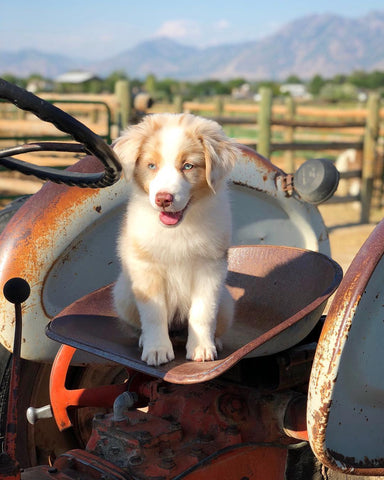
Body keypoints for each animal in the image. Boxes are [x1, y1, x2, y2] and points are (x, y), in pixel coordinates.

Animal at [112, 113, 240, 368]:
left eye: (188, 166)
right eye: (151, 165)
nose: (163, 199)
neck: (179, 229)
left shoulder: (210, 267)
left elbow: (202, 312)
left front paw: (202, 348)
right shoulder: (146, 268)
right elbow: (154, 314)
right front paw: (157, 350)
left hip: (227, 303)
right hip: (124, 294)